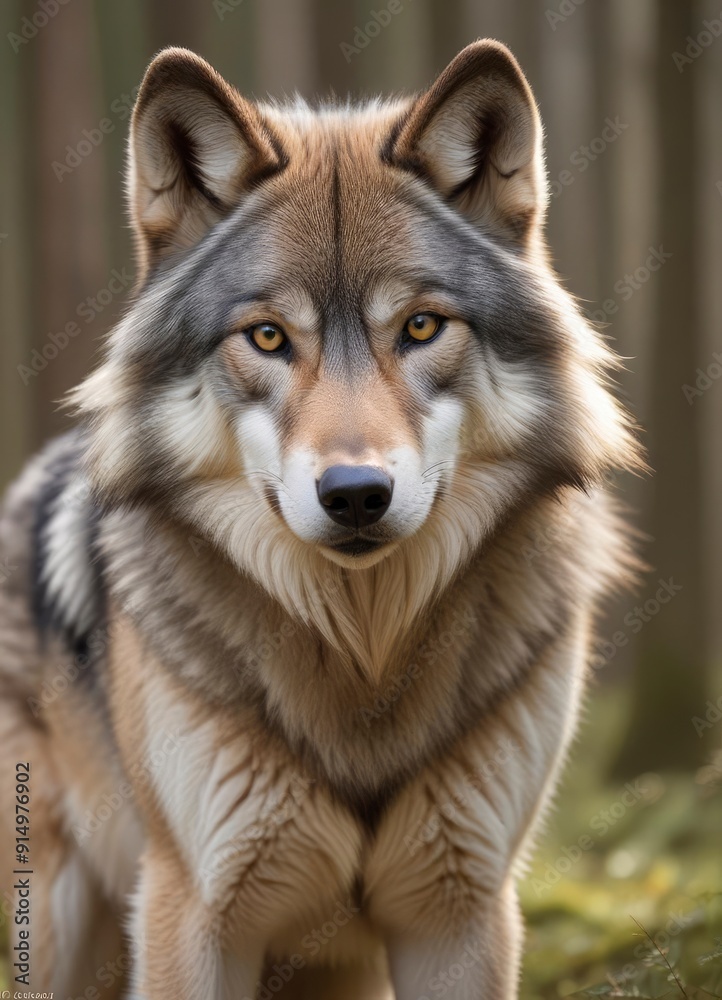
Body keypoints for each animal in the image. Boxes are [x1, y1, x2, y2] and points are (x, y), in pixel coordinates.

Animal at [0, 40, 641, 999]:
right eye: (268, 337)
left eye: (421, 326)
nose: (355, 494)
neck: (360, 655)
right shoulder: (194, 912)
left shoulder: (460, 914)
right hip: (62, 926)